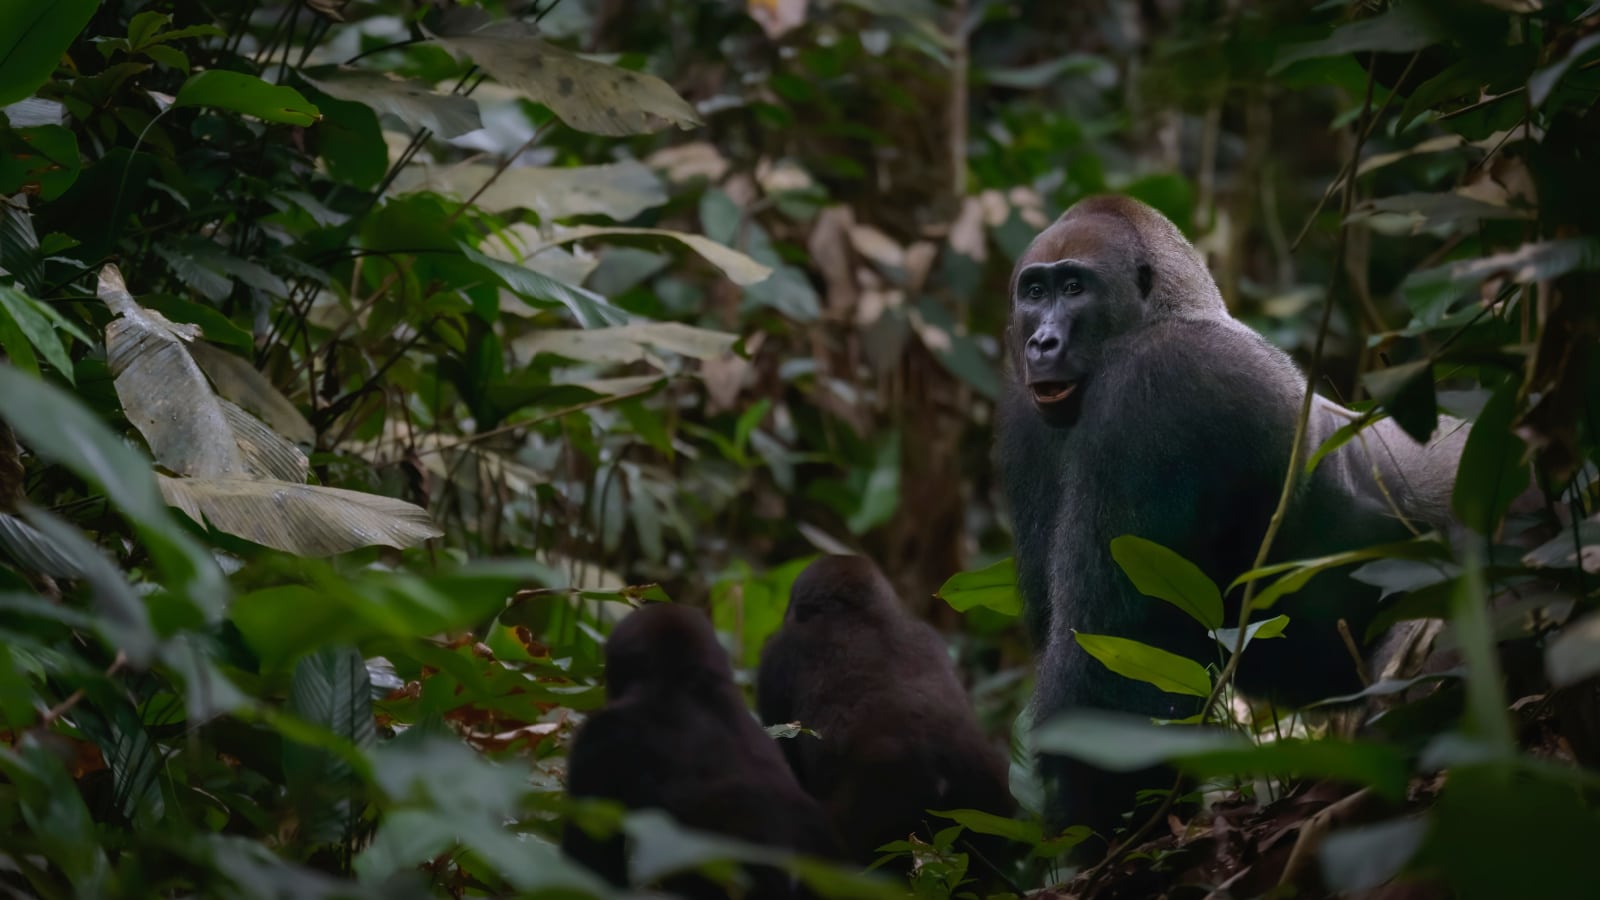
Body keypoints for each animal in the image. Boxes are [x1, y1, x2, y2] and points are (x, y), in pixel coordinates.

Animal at [998, 192, 1465, 839]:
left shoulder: (1158, 383)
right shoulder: (1027, 419)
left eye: (1073, 288)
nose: (1040, 343)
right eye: (1034, 292)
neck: (1169, 312)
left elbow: (1108, 662)